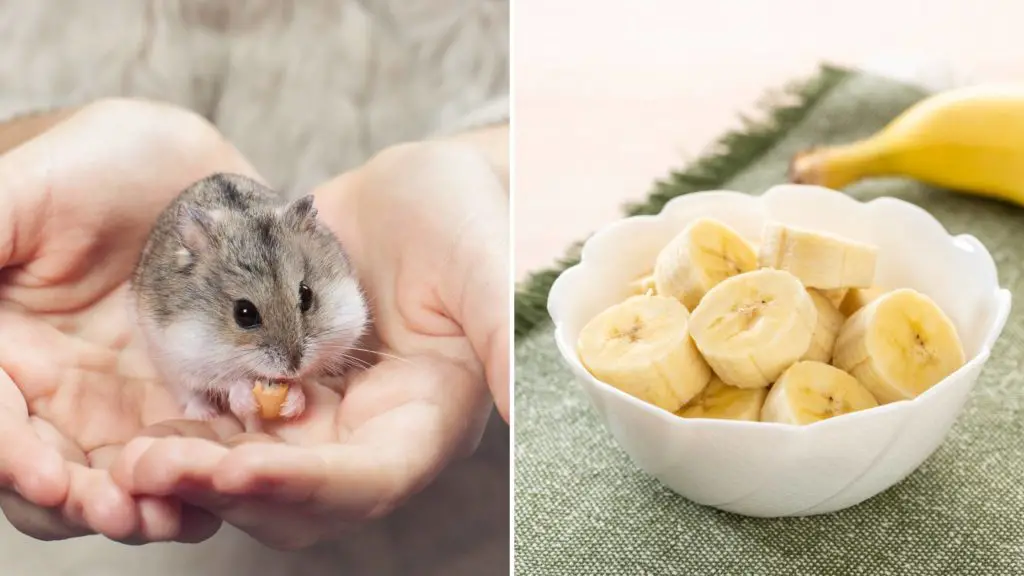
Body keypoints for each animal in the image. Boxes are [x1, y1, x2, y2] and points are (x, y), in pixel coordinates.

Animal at [130, 173, 369, 423]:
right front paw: (243, 400)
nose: (292, 368)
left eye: (306, 295)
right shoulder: (184, 354)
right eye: (244, 314)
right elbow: (226, 381)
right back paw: (205, 415)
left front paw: (293, 402)